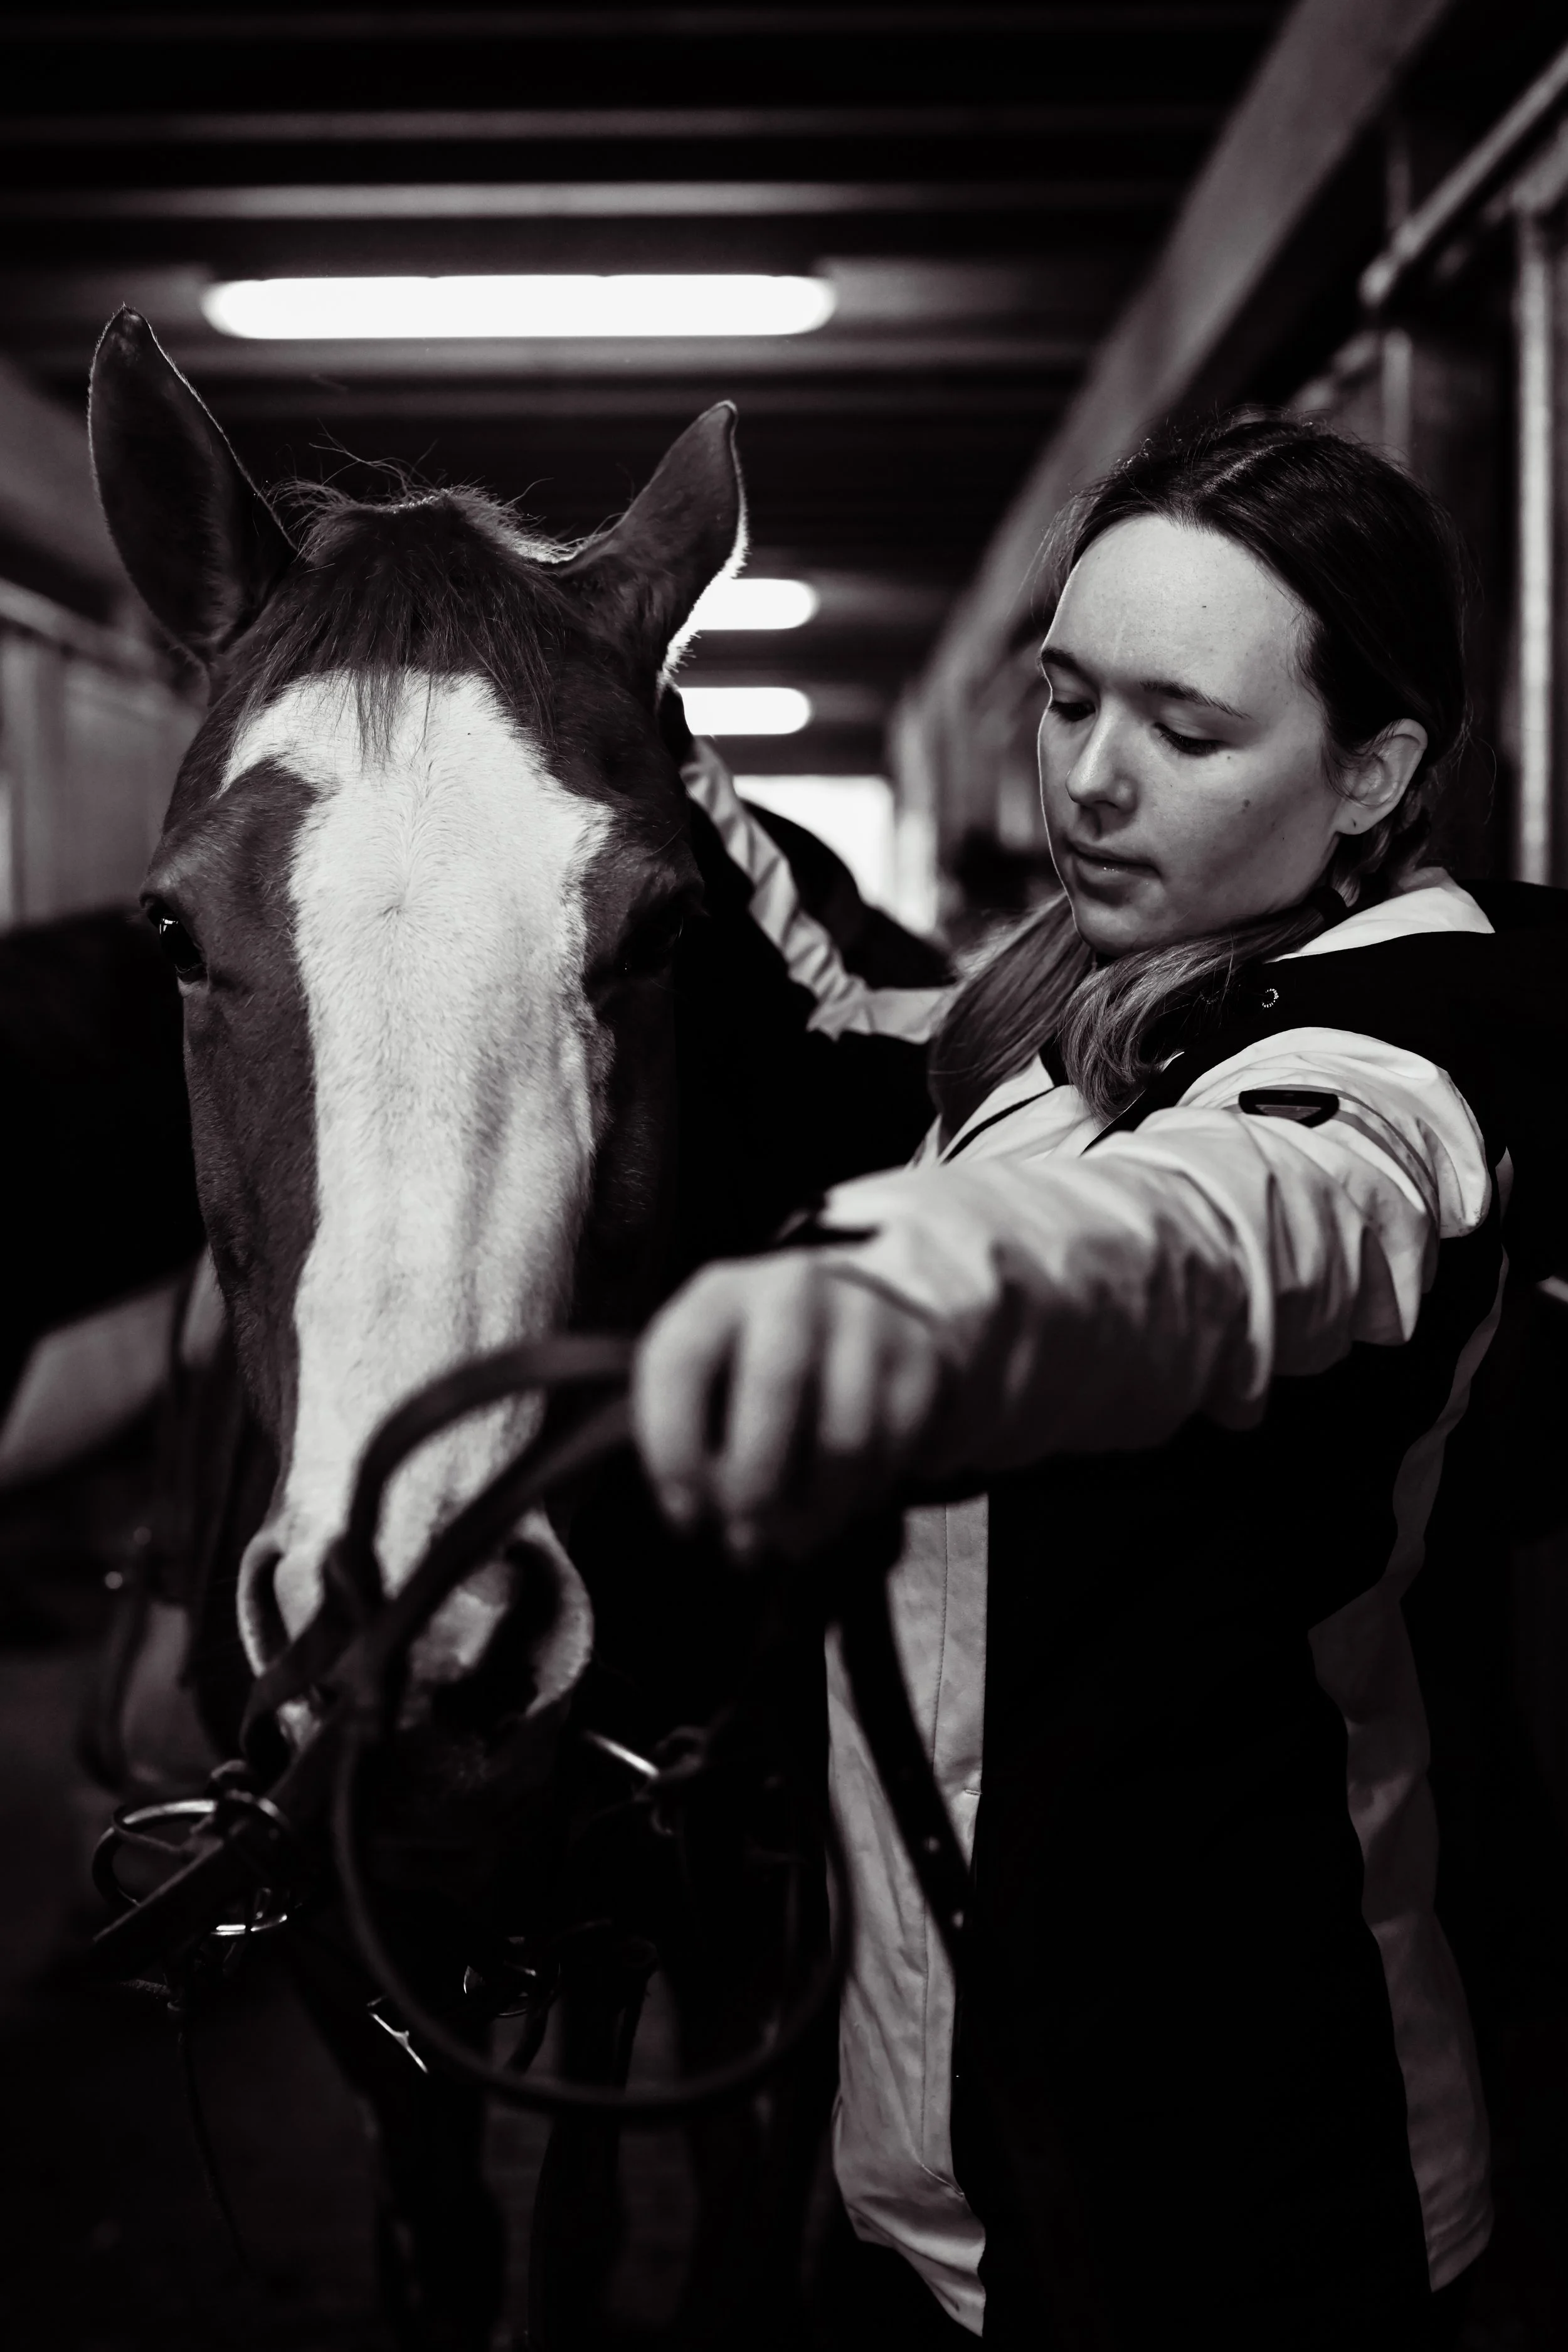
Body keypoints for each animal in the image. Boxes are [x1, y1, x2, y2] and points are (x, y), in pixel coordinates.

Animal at [86, 308, 946, 2351]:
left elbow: (677, 2203)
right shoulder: (356, 1954)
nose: (430, 1627)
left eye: (660, 932)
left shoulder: (720, 1914)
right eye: (171, 932)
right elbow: (451, 2227)